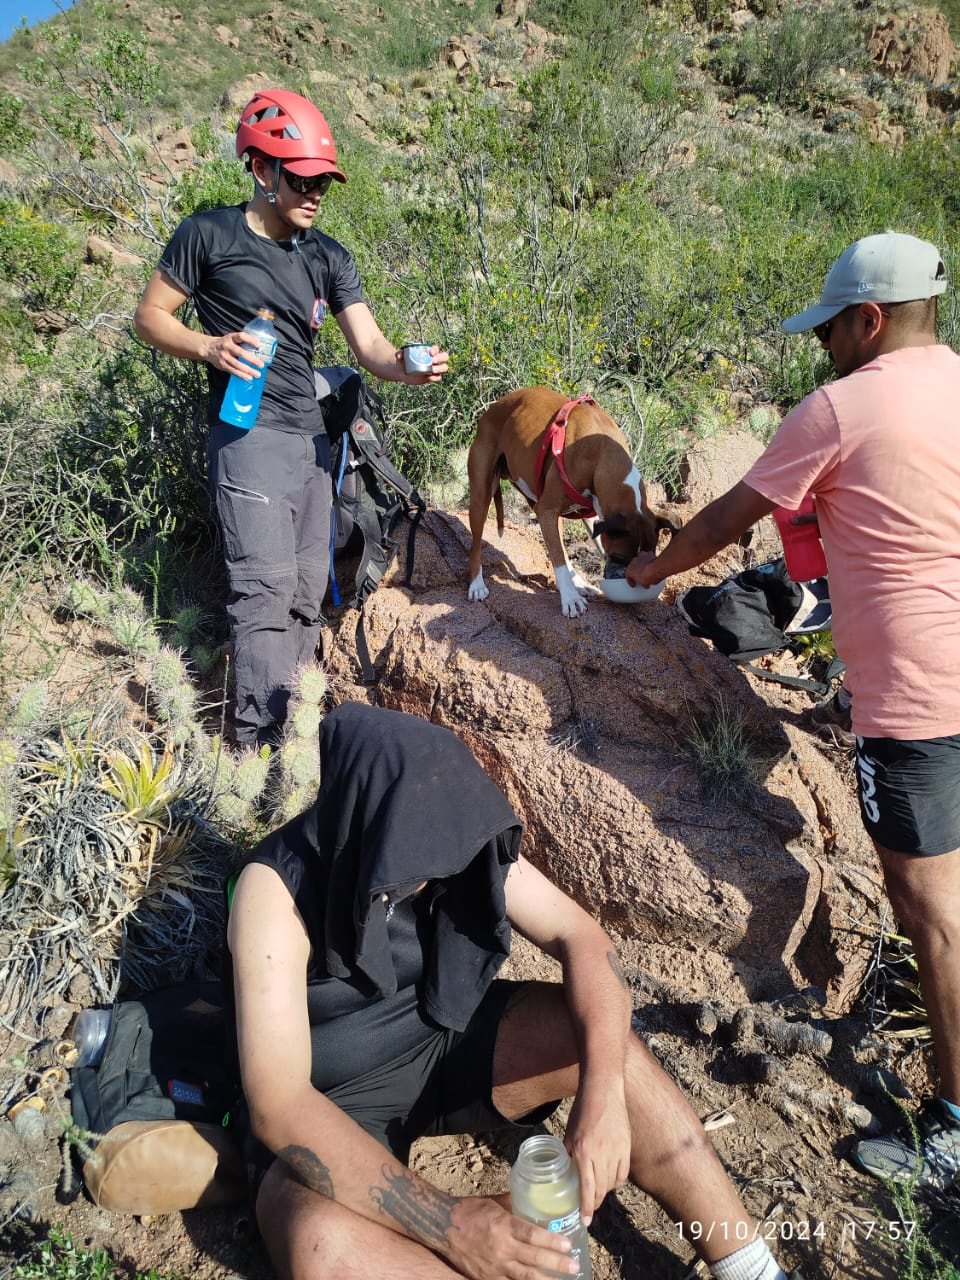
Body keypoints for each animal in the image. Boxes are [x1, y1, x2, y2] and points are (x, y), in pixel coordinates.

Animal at [468, 384, 675, 614]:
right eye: (619, 557)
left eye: (649, 557)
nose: (629, 581)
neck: (603, 452)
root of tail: (492, 409)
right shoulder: (547, 510)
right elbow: (558, 559)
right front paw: (570, 598)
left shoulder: (592, 515)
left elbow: (572, 549)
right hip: (482, 495)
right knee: (476, 544)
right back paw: (477, 585)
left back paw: (579, 584)